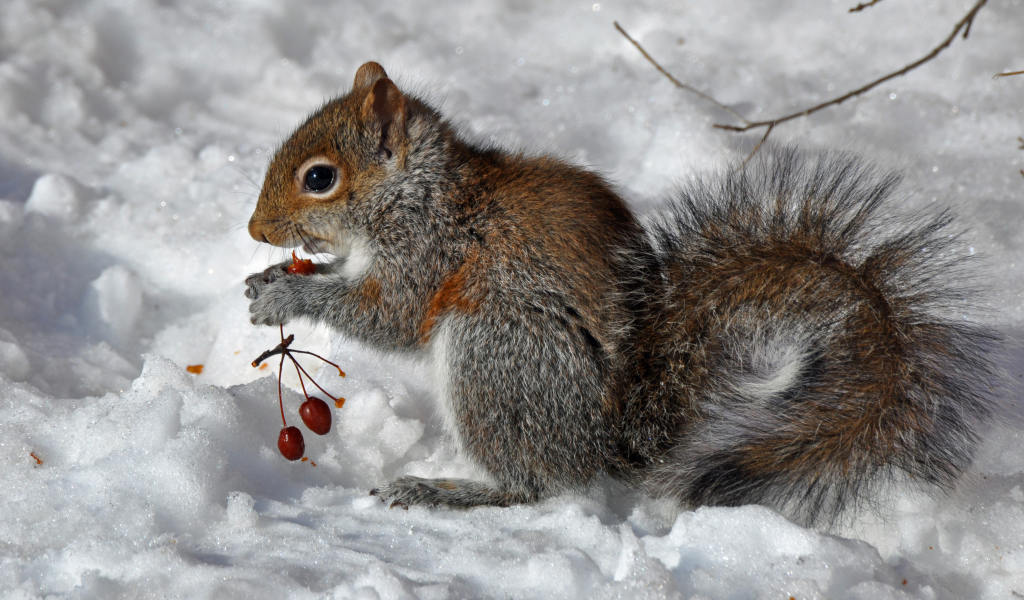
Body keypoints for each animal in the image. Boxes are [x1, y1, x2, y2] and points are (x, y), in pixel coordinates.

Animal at [245, 61, 999, 524]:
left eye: (320, 178)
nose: (255, 231)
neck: (417, 192)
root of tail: (610, 438)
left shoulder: (429, 254)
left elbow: (389, 316)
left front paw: (287, 298)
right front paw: (267, 281)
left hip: (496, 353)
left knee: (534, 484)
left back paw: (442, 490)